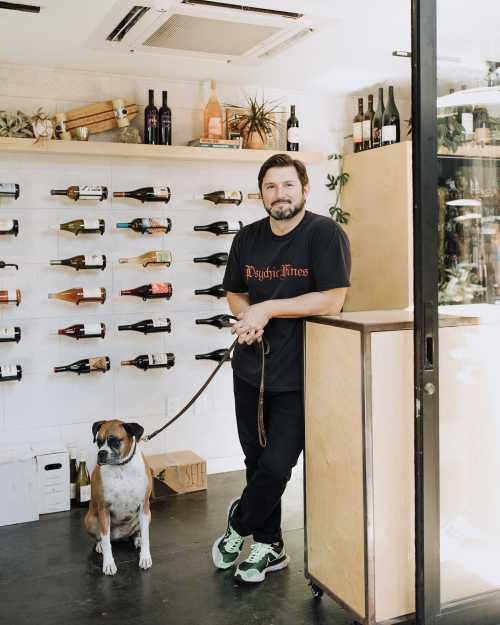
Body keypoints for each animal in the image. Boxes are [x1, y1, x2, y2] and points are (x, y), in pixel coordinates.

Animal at [84, 420, 152, 576]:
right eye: (98, 442)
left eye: (114, 441)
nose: (101, 453)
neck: (121, 468)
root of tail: (121, 536)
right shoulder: (104, 509)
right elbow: (105, 540)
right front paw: (108, 563)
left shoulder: (144, 507)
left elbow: (146, 536)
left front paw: (145, 557)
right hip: (90, 520)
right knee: (102, 538)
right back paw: (100, 546)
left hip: (148, 515)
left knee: (138, 531)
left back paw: (137, 539)